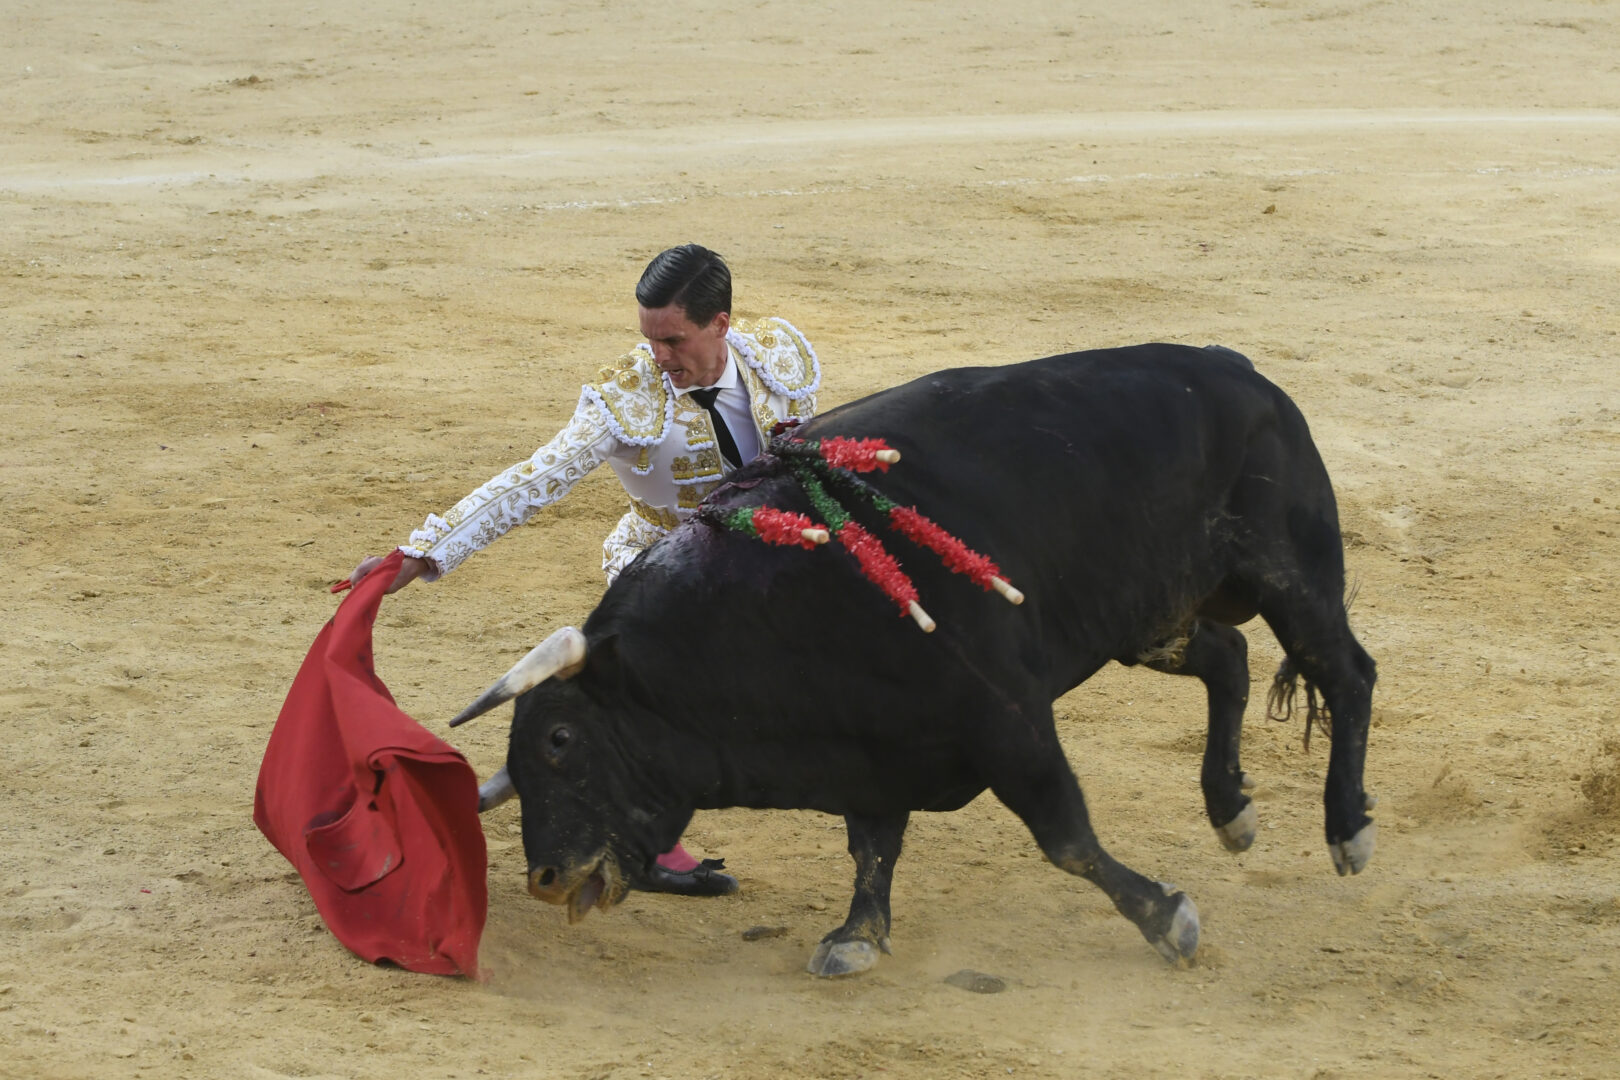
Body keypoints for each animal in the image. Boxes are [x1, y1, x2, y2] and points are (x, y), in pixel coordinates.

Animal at [452, 343, 1377, 975]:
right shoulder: (874, 749)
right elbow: (871, 847)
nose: (544, 877)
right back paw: (1233, 812)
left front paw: (1168, 920)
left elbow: (1067, 839)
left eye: (560, 741)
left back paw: (1348, 832)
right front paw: (857, 937)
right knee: (1228, 657)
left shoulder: (1009, 723)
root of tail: (1239, 370)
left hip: (1290, 572)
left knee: (1347, 671)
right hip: (1147, 615)